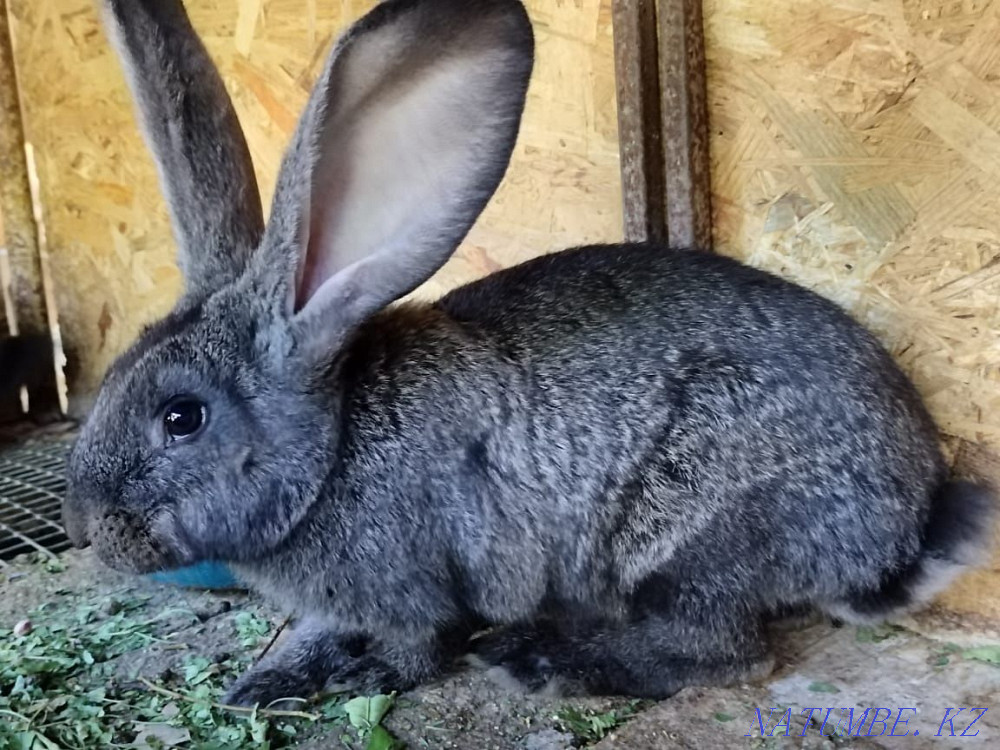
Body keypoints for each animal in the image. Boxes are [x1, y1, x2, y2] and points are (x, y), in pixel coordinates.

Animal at [63, 0, 996, 707]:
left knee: (726, 652)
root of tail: (905, 529)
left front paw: (358, 677)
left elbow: (414, 647)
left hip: (693, 539)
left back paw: (543, 659)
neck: (330, 453)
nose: (89, 532)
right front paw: (269, 680)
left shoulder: (411, 583)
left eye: (182, 418)